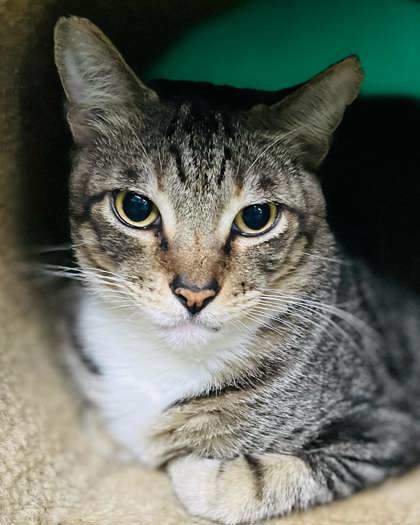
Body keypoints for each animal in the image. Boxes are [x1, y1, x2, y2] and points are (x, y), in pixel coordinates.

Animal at [53, 16, 420, 524]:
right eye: (136, 208)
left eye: (257, 218)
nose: (194, 293)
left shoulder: (388, 423)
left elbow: (252, 477)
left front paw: (195, 468)